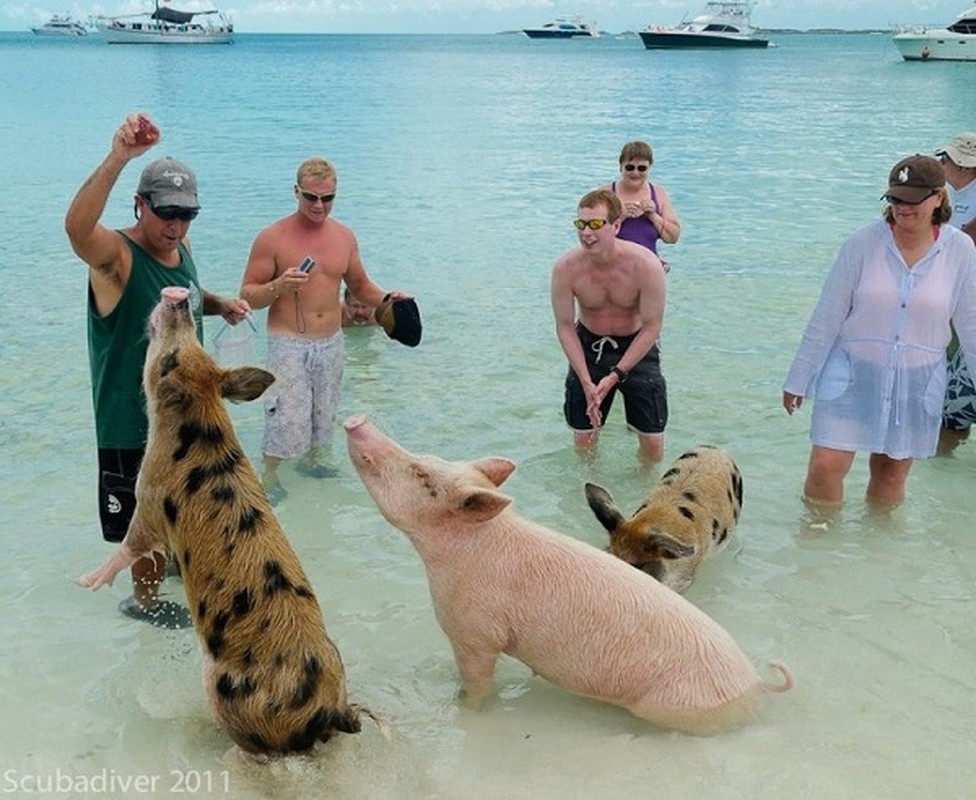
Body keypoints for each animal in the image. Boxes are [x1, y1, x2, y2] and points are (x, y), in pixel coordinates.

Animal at [78, 288, 362, 756]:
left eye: (170, 357)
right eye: (194, 345)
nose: (177, 298)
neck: (198, 428)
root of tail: (330, 711)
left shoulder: (150, 492)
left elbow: (133, 542)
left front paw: (86, 581)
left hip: (223, 690)